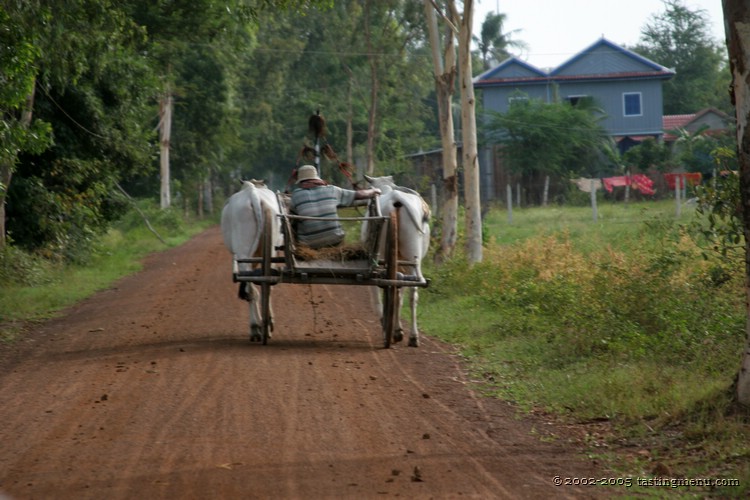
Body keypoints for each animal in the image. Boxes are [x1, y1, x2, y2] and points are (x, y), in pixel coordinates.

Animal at [223, 179, 284, 340]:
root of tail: (253, 195)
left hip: (244, 254)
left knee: (252, 289)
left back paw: (257, 327)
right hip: (268, 251)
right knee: (265, 285)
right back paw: (265, 325)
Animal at [362, 176, 428, 348]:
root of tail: (396, 198)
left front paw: (395, 329)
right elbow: (400, 293)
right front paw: (398, 331)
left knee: (383, 288)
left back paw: (387, 326)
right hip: (413, 257)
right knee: (413, 290)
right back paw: (413, 337)